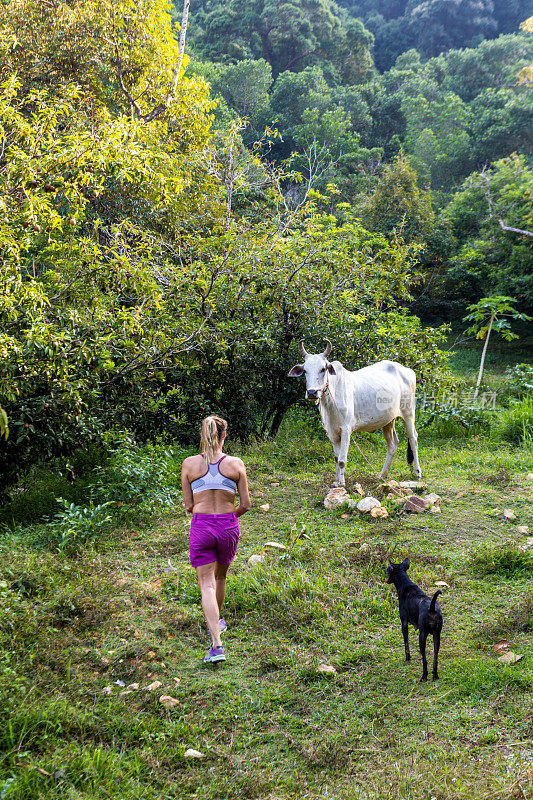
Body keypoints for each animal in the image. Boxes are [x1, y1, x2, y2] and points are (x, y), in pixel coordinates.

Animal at [288, 340, 422, 488]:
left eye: (323, 369)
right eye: (305, 370)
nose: (312, 392)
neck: (331, 399)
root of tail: (408, 370)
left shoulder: (346, 429)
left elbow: (342, 460)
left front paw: (341, 483)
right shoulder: (331, 431)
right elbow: (336, 458)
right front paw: (336, 481)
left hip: (408, 413)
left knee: (413, 439)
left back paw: (417, 472)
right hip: (388, 420)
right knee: (393, 444)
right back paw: (382, 475)